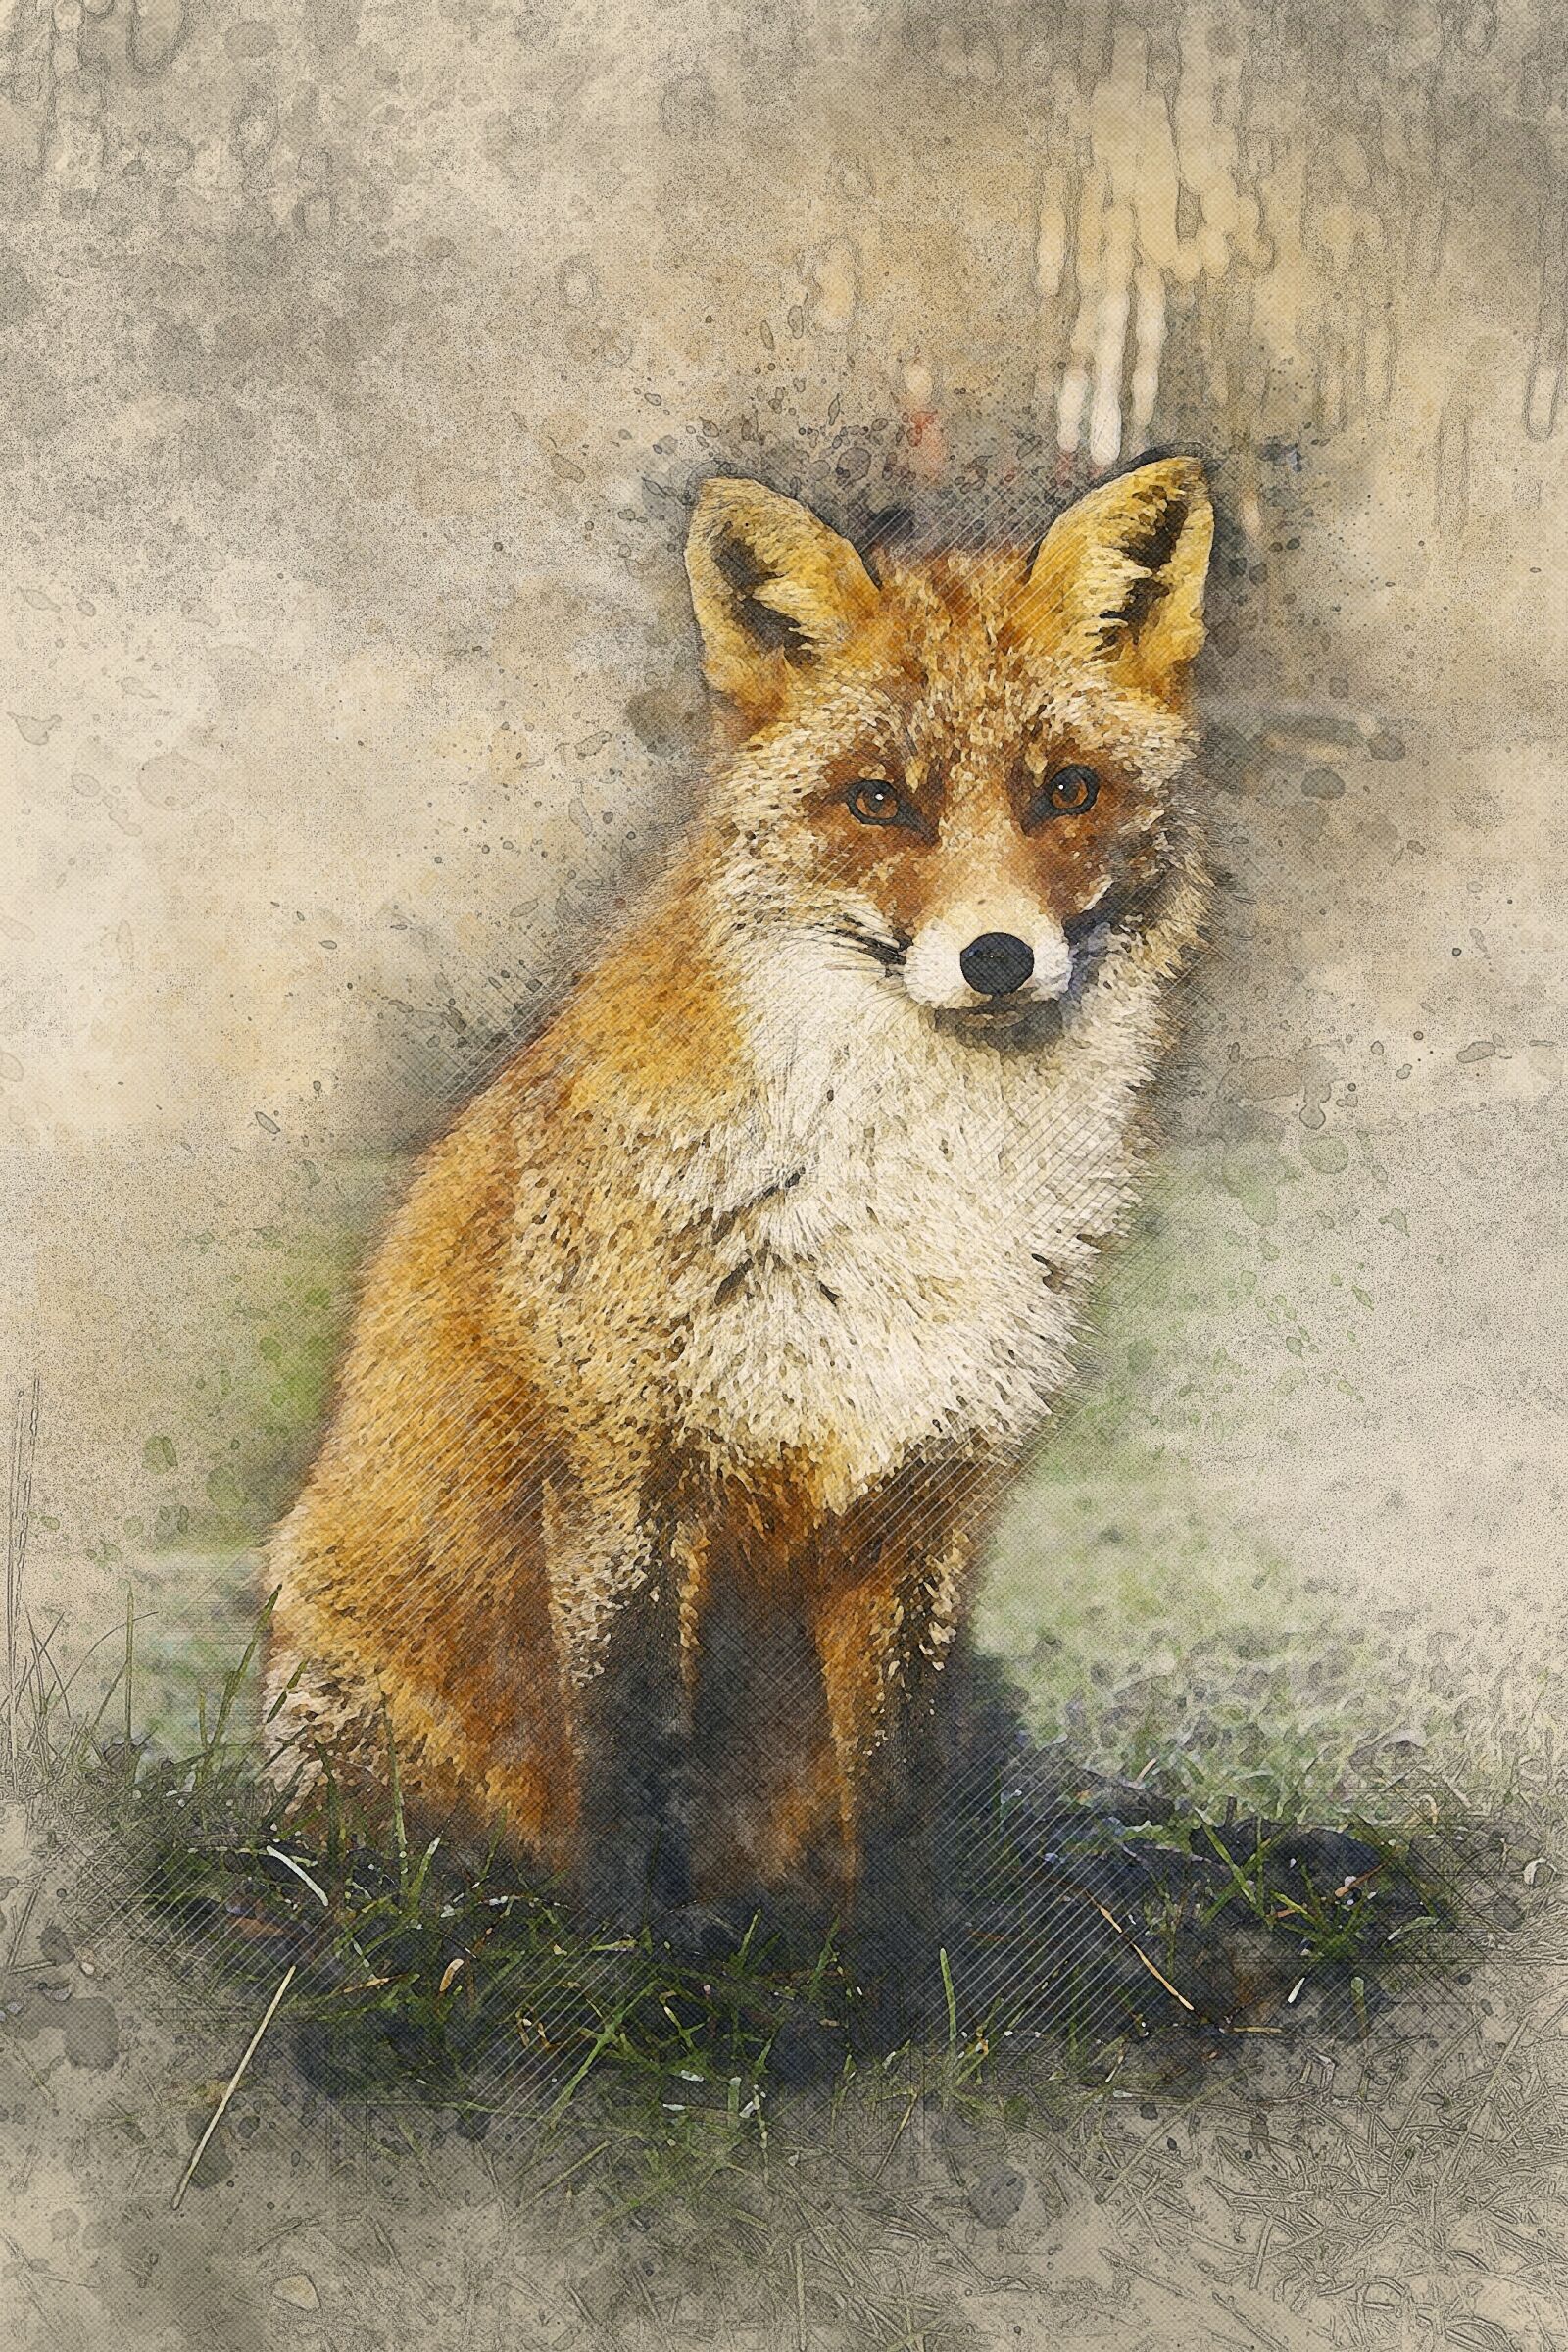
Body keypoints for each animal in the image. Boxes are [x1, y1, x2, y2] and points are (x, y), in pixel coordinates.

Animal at [261, 453, 1215, 1941]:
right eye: (878, 802)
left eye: (1067, 790)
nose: (998, 957)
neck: (914, 1197)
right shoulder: (624, 1474)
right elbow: (632, 1740)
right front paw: (633, 1956)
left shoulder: (925, 1501)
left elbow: (895, 1779)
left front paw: (901, 1965)